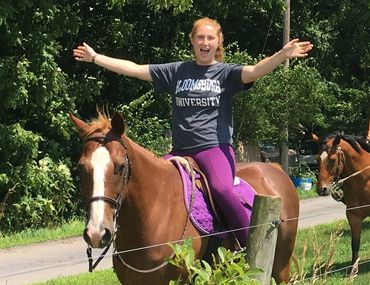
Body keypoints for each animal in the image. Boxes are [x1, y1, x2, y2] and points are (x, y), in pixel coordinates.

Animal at [70, 111, 300, 284]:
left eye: (119, 167)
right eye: (81, 168)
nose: (97, 233)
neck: (154, 212)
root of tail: (276, 169)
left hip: (281, 265)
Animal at [314, 133, 370, 264]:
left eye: (333, 159)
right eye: (317, 159)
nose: (322, 189)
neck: (364, 180)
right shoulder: (353, 215)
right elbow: (355, 244)